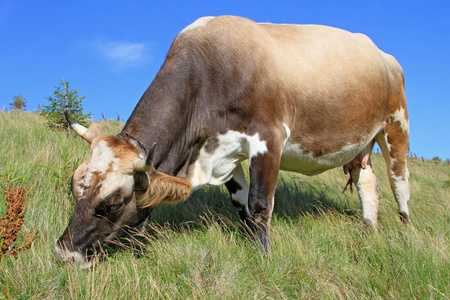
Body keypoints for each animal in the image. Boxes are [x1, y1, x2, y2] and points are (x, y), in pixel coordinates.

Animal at [54, 15, 410, 268]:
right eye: (73, 187)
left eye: (113, 204)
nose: (64, 252)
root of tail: (381, 53)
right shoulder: (223, 152)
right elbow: (242, 205)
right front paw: (251, 244)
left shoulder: (268, 140)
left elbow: (260, 204)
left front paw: (264, 259)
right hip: (361, 142)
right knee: (368, 181)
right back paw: (368, 229)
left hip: (396, 126)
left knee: (399, 181)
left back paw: (405, 228)